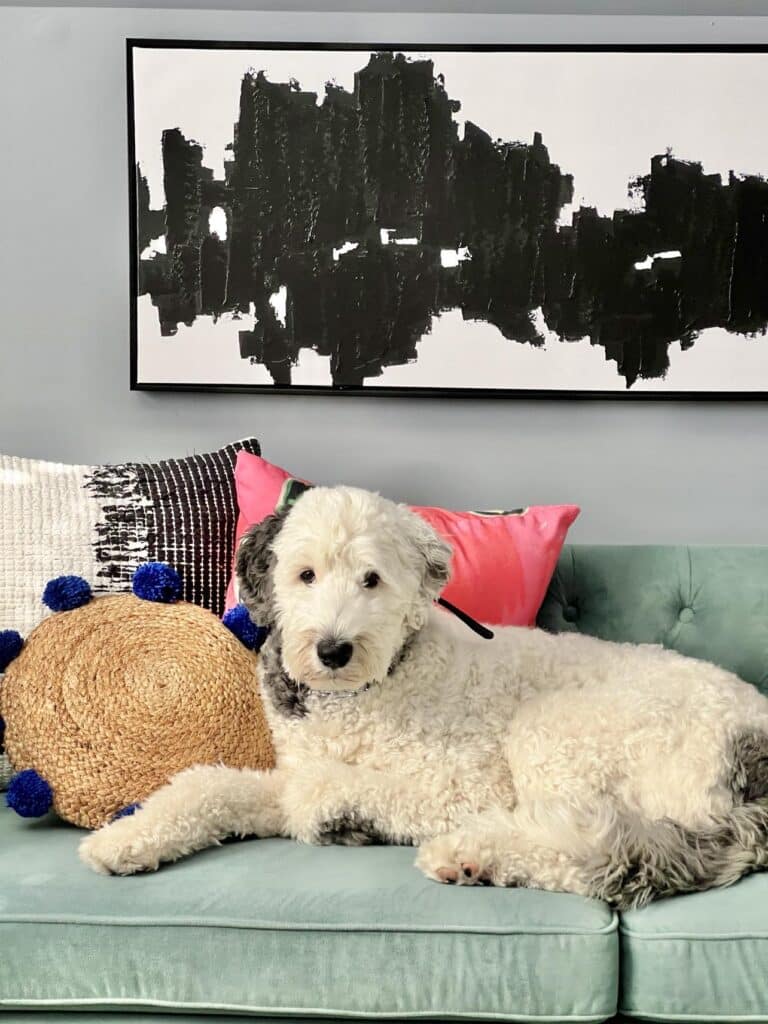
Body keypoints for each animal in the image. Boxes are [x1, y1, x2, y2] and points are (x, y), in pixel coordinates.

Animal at [79, 483, 768, 909]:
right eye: (305, 575)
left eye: (372, 579)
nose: (333, 649)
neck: (364, 694)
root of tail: (752, 744)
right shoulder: (287, 768)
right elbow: (210, 785)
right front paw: (126, 839)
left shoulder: (464, 784)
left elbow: (329, 788)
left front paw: (338, 816)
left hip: (558, 732)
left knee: (594, 845)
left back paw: (471, 852)